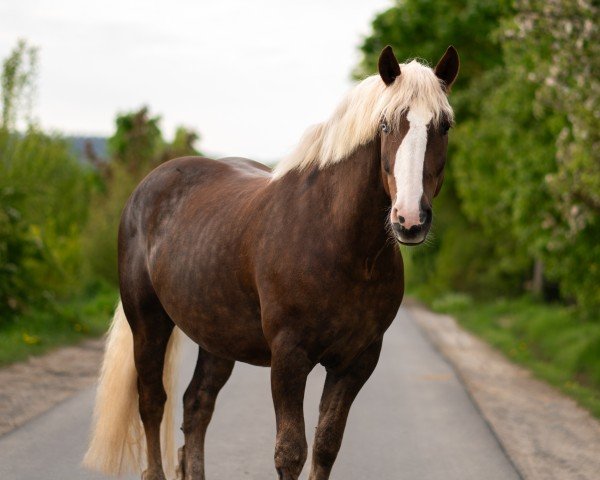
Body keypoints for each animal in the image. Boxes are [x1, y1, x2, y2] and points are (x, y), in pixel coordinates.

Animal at [83, 46, 460, 480]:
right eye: (385, 124)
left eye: (444, 126)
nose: (409, 219)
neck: (339, 243)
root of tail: (146, 188)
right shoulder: (289, 358)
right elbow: (290, 451)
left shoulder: (356, 362)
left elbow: (326, 445)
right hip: (148, 322)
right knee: (151, 401)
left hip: (217, 336)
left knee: (197, 405)